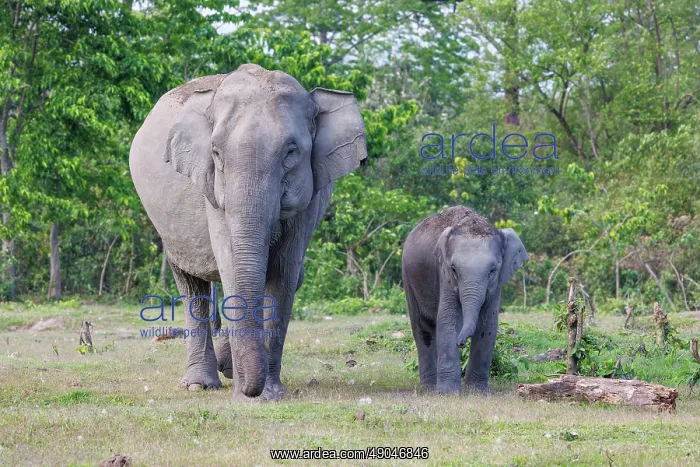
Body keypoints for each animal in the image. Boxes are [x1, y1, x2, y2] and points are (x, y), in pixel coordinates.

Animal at [129, 64, 367, 400]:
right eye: (216, 153)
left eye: (291, 152)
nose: (249, 389)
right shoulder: (213, 194)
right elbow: (231, 265)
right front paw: (247, 393)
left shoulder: (310, 198)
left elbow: (283, 273)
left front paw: (268, 393)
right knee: (191, 286)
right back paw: (201, 383)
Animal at [401, 206, 528, 393]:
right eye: (454, 269)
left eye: (492, 270)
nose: (460, 343)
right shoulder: (444, 273)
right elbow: (448, 319)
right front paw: (447, 393)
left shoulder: (496, 284)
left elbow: (488, 324)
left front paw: (477, 392)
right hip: (408, 278)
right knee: (422, 327)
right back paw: (429, 388)